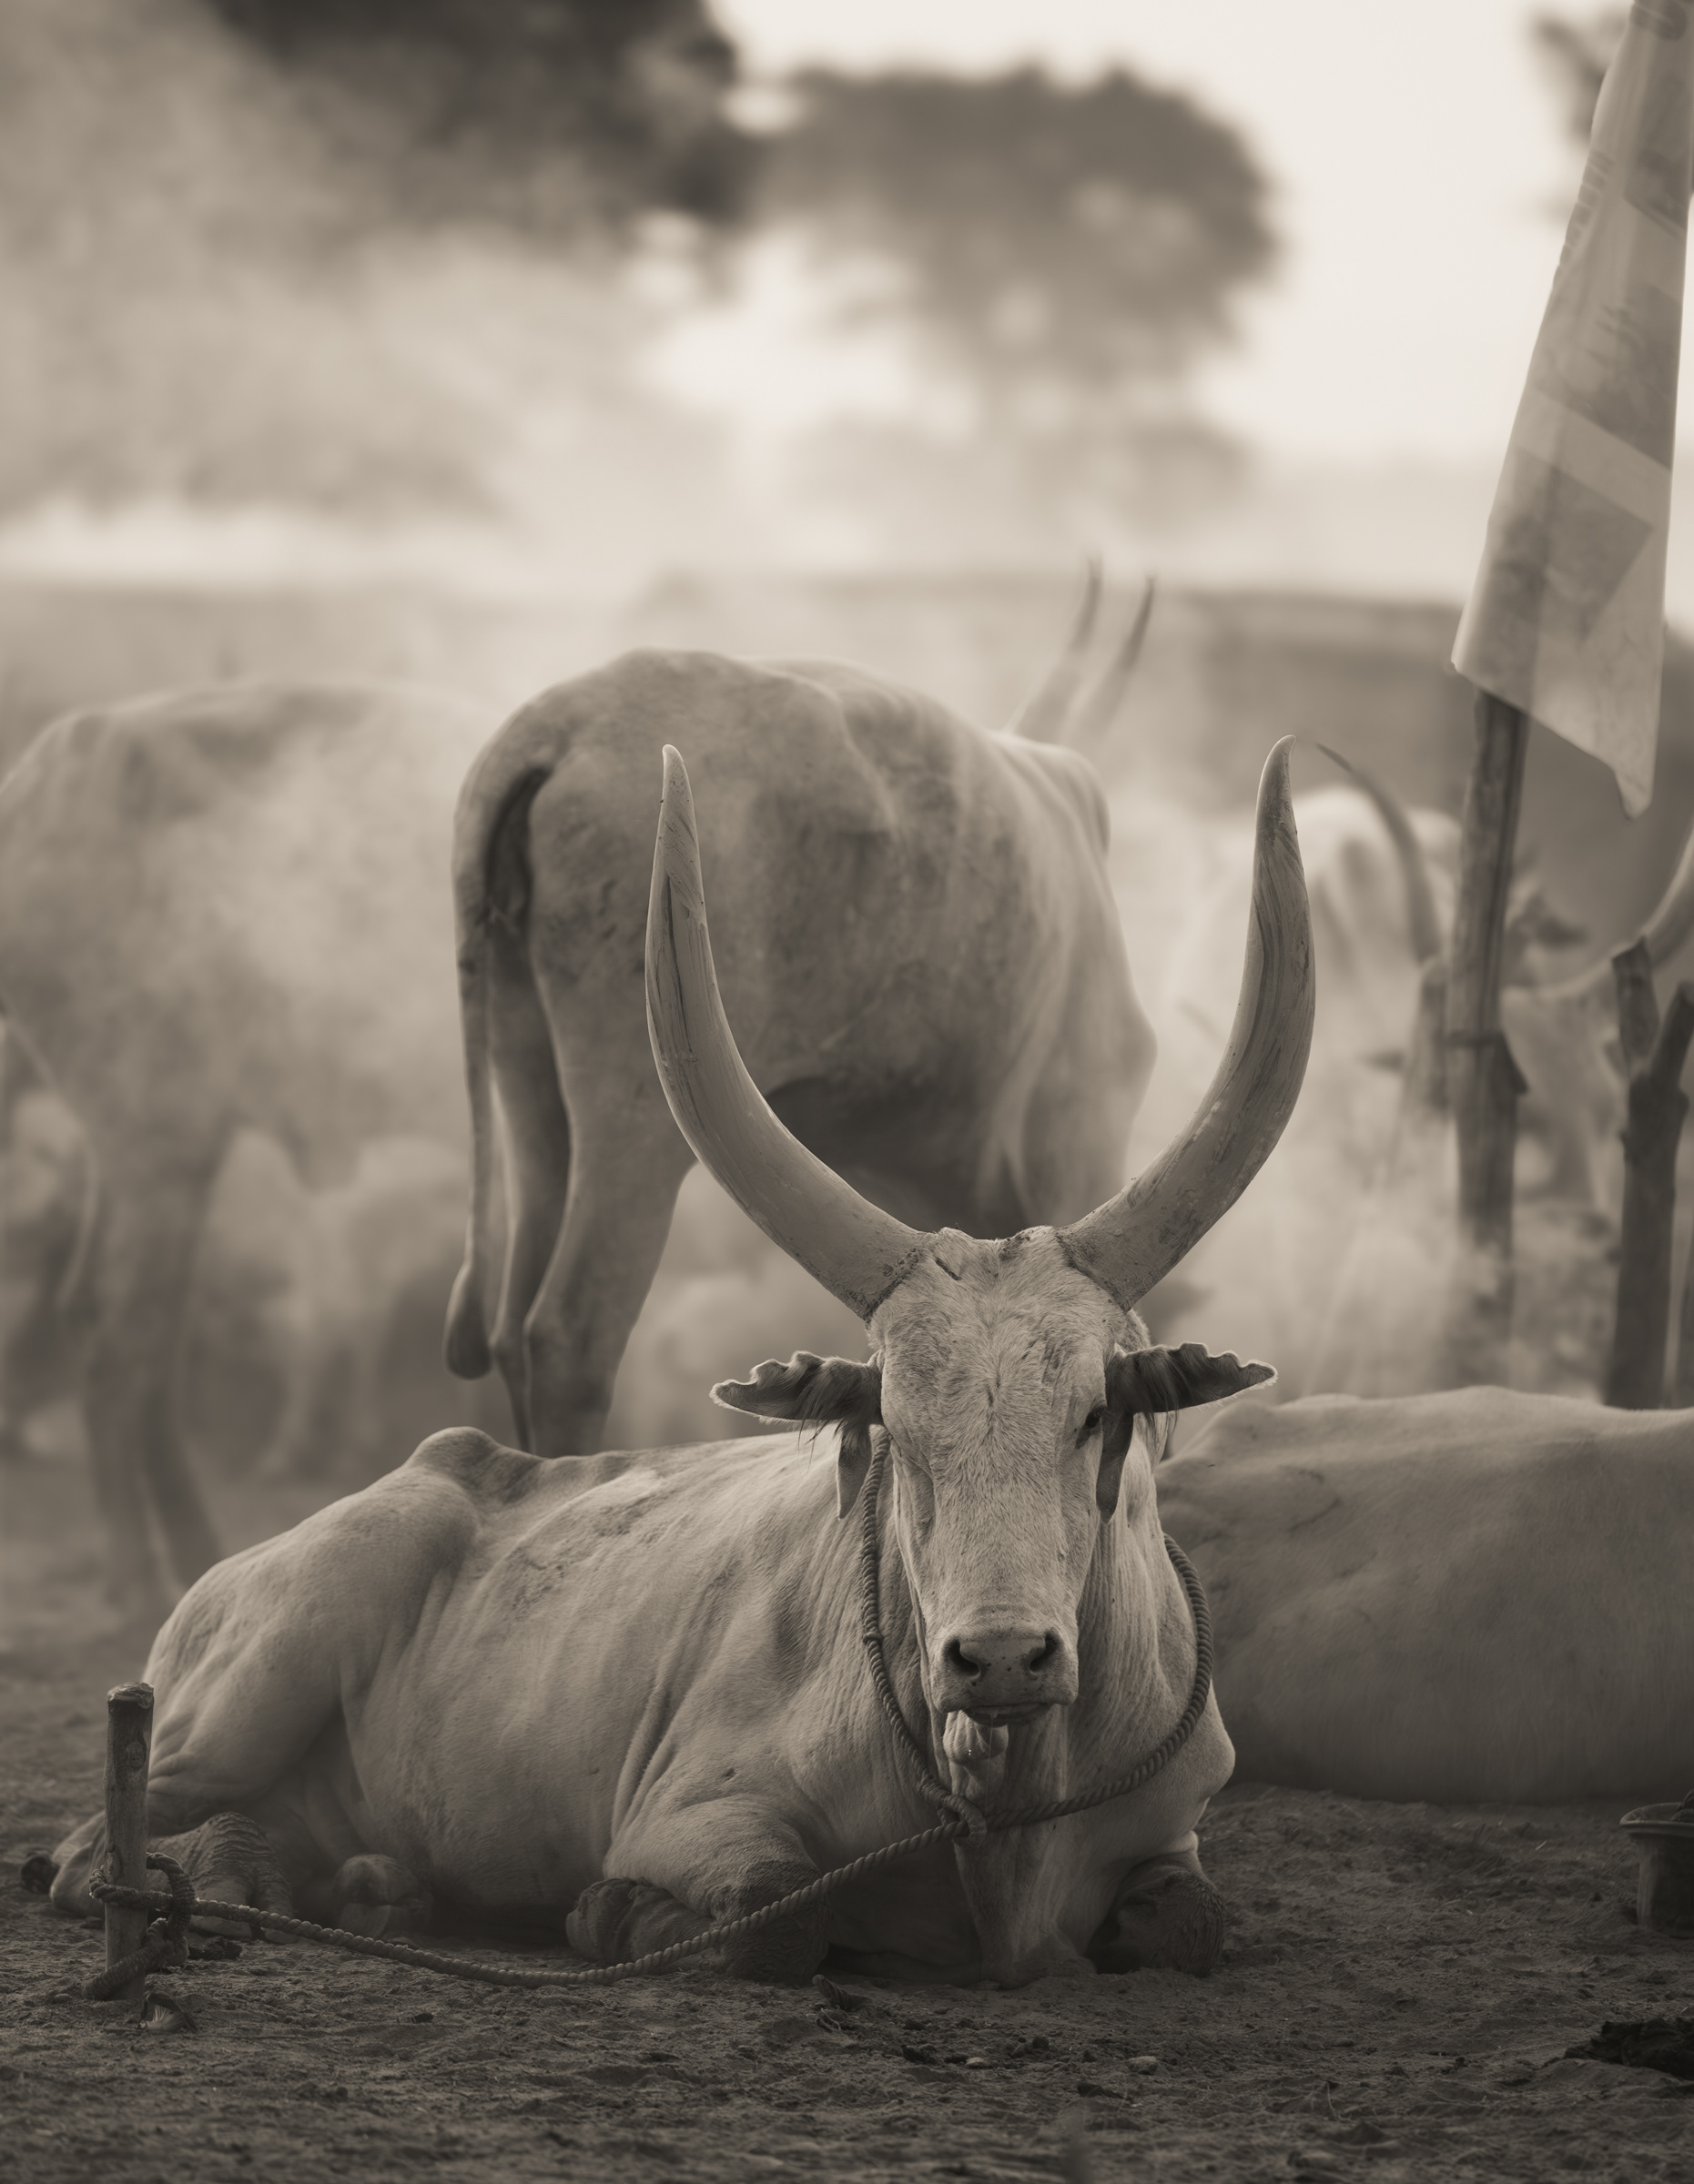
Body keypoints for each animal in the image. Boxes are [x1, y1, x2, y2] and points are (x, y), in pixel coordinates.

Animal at [0, 680, 510, 1623]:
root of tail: (38, 779)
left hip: (172, 1152)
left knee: (132, 1329)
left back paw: (192, 1551)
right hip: (152, 1134)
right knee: (118, 1325)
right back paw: (138, 1572)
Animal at [47, 738, 1313, 1989]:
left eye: (1097, 1415)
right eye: (895, 1429)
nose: (998, 1657)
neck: (1001, 1819)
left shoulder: (1171, 1833)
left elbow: (1188, 1924)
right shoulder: (700, 1813)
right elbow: (774, 1917)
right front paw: (613, 1915)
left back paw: (358, 1885)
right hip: (253, 1677)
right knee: (91, 1846)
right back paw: (220, 1887)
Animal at [445, 645, 1159, 1460]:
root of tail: (560, 723)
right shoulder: (1079, 1130)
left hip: (521, 1046)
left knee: (511, 1322)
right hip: (642, 1089)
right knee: (571, 1329)